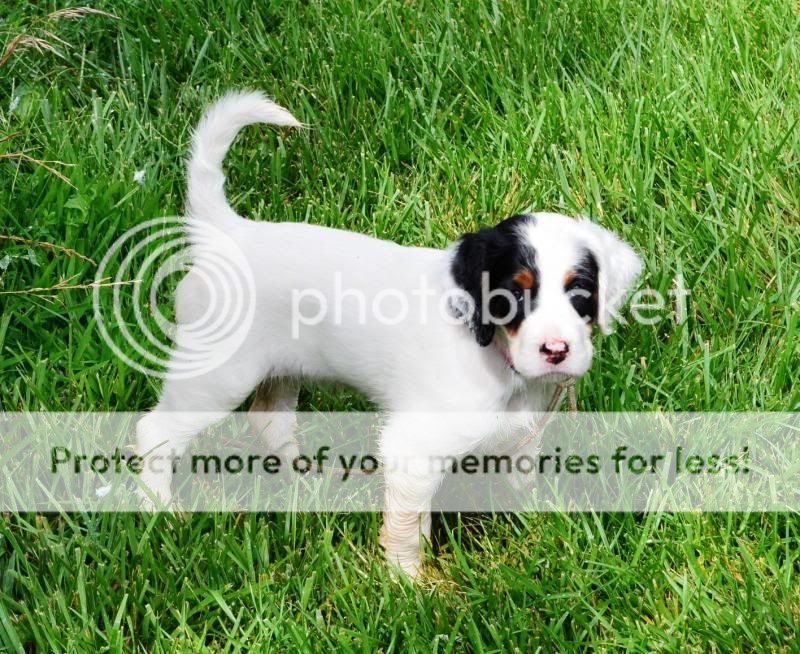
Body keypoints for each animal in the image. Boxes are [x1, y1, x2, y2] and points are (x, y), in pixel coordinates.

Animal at [134, 92, 640, 580]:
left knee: (268, 420)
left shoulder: (523, 432)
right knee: (155, 431)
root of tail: (229, 233)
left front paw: (532, 521)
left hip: (278, 367)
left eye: (581, 291)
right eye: (511, 294)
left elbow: (521, 482)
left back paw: (301, 481)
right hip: (219, 374)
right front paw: (408, 582)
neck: (498, 362)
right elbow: (407, 524)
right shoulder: (412, 447)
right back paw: (161, 510)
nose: (556, 351)